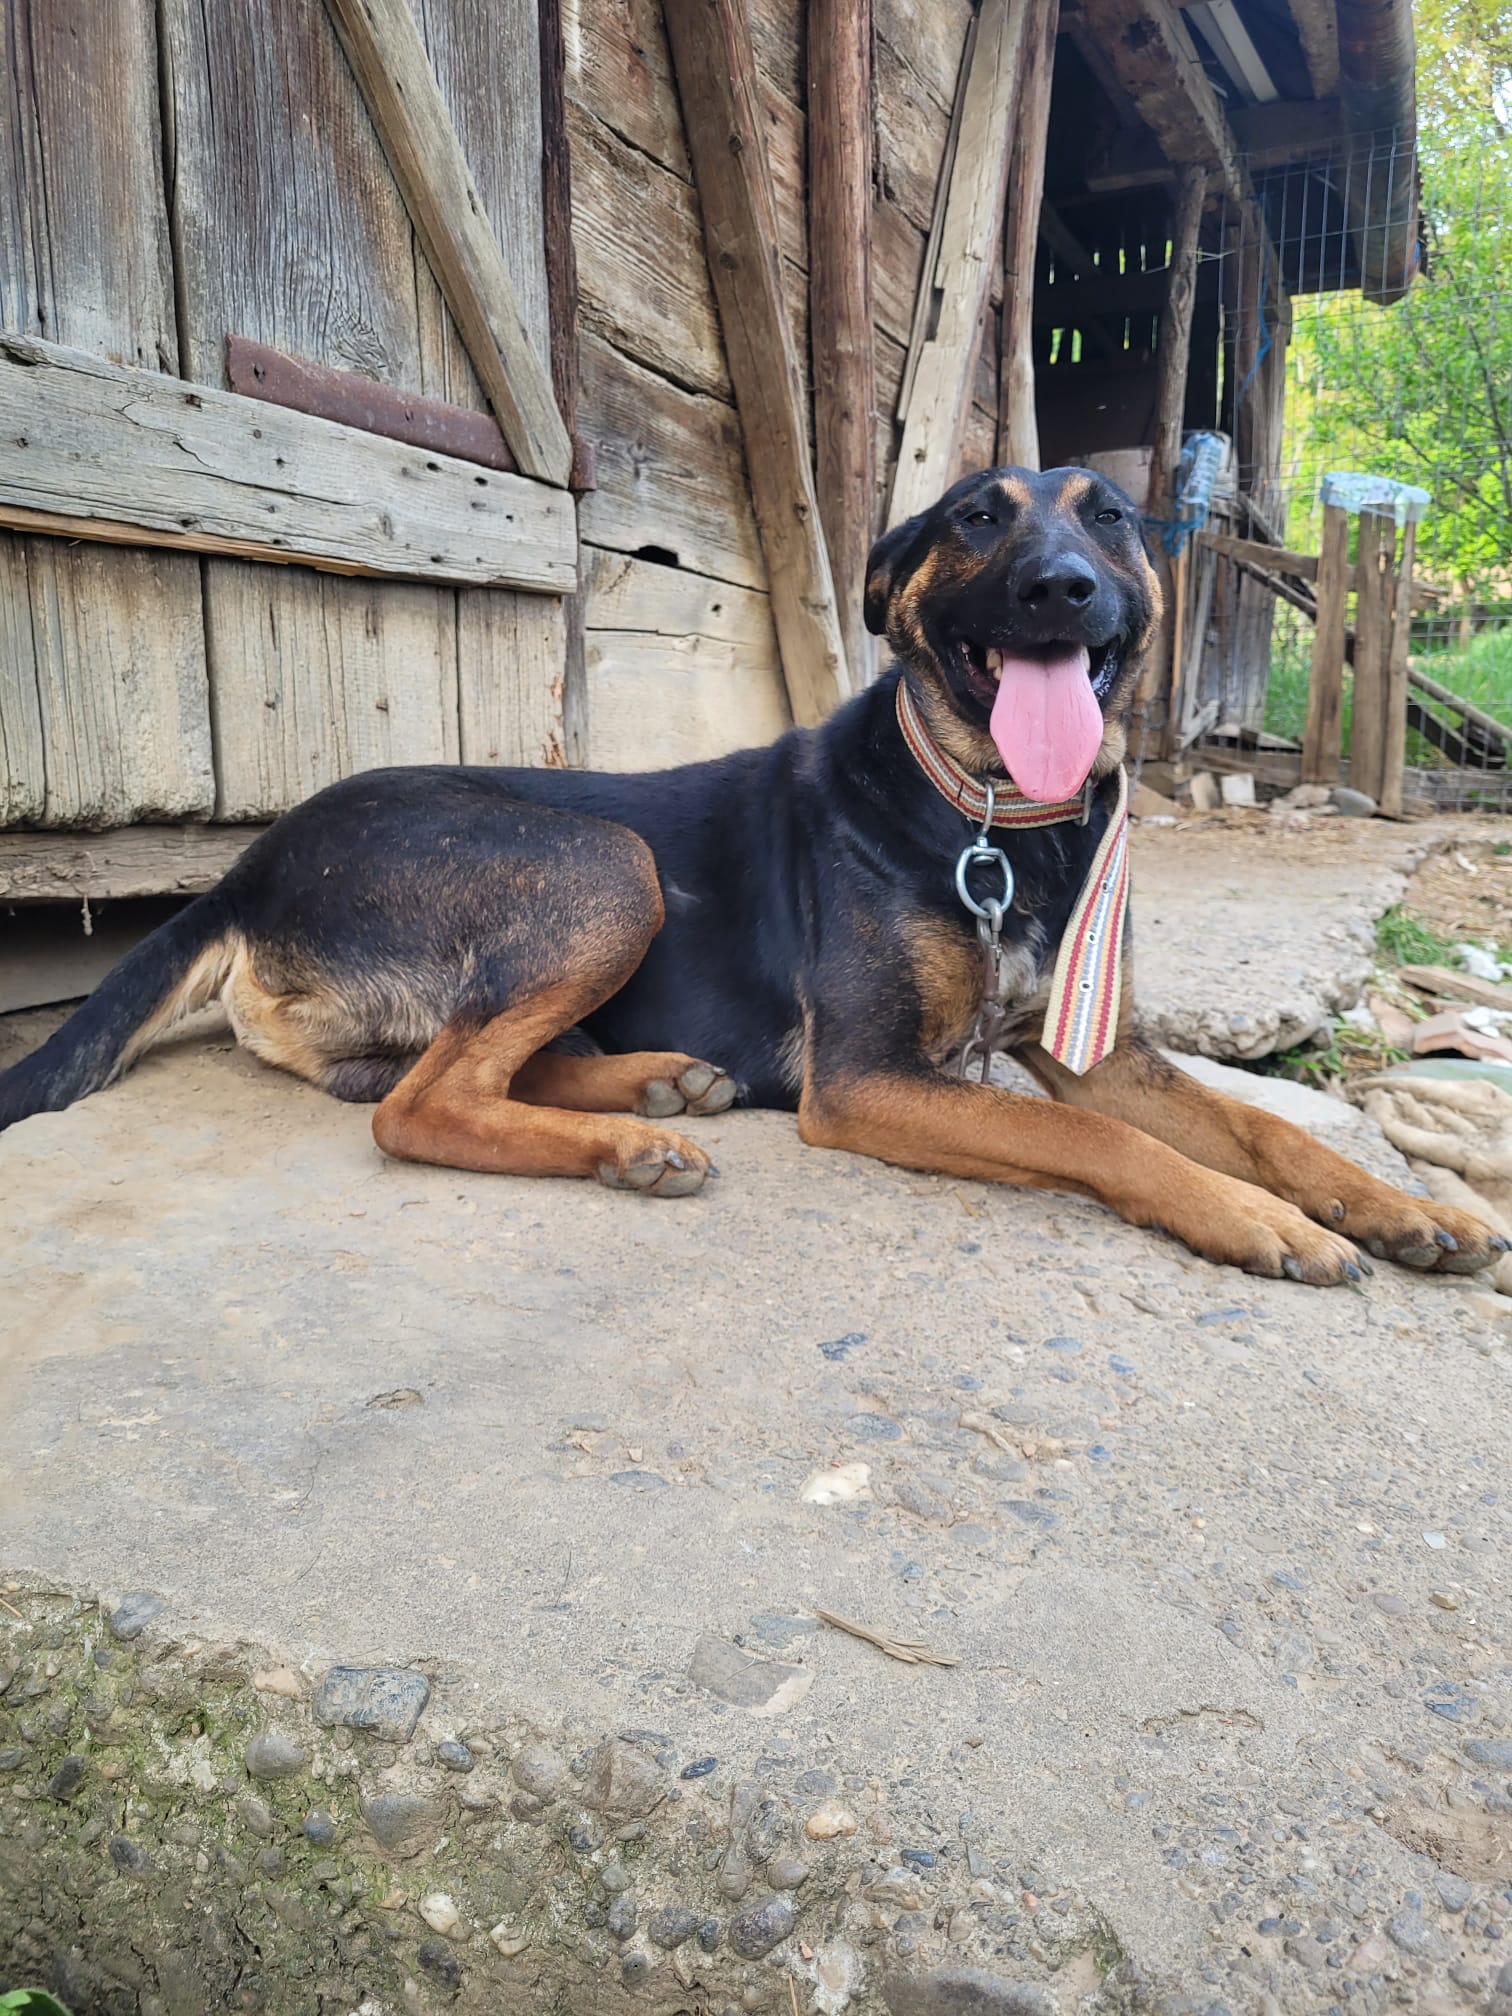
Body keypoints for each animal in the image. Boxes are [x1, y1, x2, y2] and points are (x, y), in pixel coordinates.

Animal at [1, 466, 1502, 1286]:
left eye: (1117, 517)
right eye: (976, 518)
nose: (1064, 589)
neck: (990, 817)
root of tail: (246, 867)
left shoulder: (1098, 1048)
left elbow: (1264, 1127)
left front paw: (1401, 1207)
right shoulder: (873, 1081)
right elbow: (1109, 1144)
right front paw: (1260, 1224)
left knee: (443, 1071)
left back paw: (656, 1083)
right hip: (605, 862)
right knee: (420, 1107)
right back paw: (630, 1139)